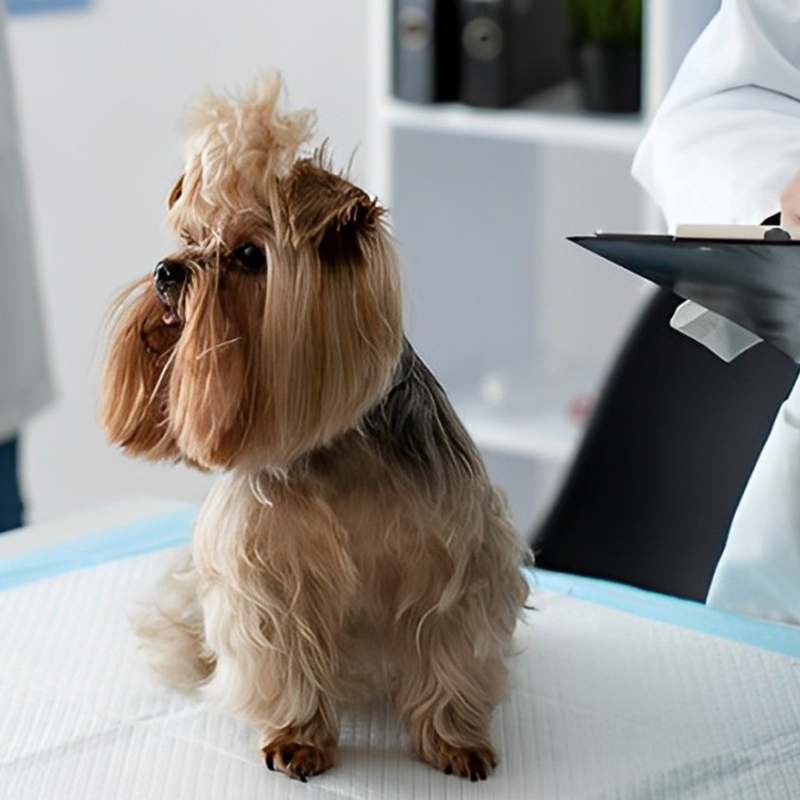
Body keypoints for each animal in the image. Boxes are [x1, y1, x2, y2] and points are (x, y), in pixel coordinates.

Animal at [98, 76, 532, 780]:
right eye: (189, 236)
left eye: (250, 255)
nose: (168, 270)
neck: (334, 444)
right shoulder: (266, 577)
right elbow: (283, 656)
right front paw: (298, 737)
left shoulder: (460, 559)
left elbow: (451, 648)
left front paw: (455, 738)